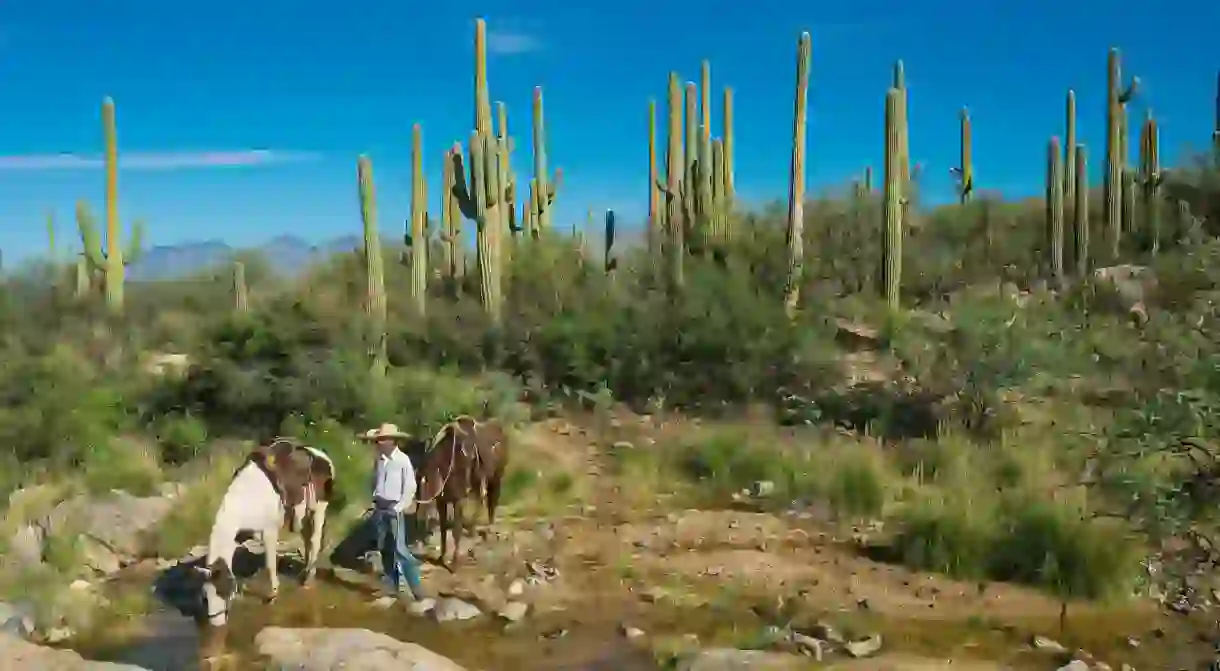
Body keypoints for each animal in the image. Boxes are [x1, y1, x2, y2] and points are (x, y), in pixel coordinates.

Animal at [197, 439, 336, 629]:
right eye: (205, 596)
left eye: (222, 591)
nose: (215, 623)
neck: (246, 500)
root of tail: (322, 456)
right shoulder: (239, 536)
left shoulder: (269, 532)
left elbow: (270, 564)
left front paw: (272, 595)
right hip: (304, 516)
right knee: (307, 541)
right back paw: (305, 574)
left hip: (319, 510)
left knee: (314, 541)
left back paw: (308, 579)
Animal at [417, 417, 507, 570]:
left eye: (423, 484)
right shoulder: (442, 501)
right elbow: (443, 530)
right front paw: (442, 557)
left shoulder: (458, 500)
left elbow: (456, 531)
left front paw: (454, 563)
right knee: (481, 502)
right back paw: (473, 531)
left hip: (496, 478)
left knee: (492, 502)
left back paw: (488, 530)